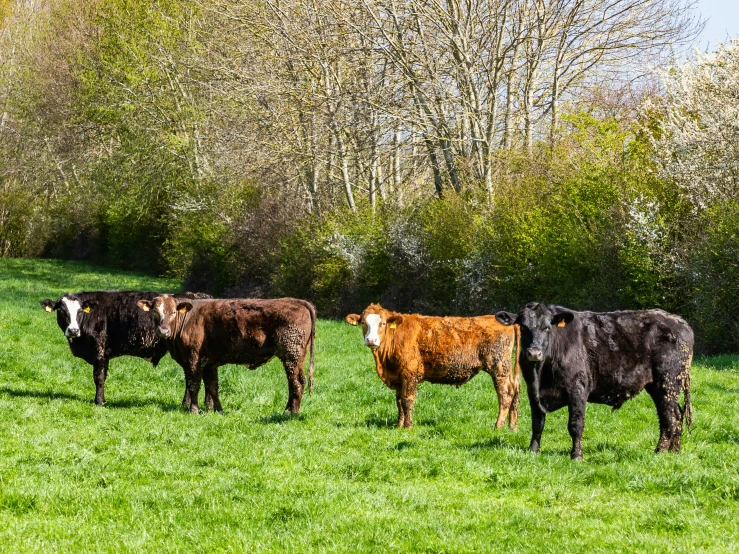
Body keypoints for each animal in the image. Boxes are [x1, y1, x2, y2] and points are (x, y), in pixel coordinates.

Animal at [40, 288, 210, 406]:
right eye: (61, 310)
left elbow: (99, 378)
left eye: (80, 311)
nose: (73, 330)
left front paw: (99, 401)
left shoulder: (100, 351)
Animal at [137, 296, 316, 412]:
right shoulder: (208, 363)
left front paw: (194, 409)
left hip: (292, 355)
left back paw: (291, 412)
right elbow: (212, 387)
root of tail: (298, 301)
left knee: (296, 382)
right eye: (155, 311)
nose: (163, 331)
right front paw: (218, 410)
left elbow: (193, 385)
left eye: (174, 312)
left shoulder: (194, 360)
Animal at [346, 304, 520, 430]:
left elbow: (407, 400)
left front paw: (408, 427)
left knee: (505, 395)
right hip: (506, 370)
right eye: (363, 323)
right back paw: (512, 426)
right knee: (515, 389)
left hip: (499, 368)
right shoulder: (399, 378)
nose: (371, 340)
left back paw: (498, 426)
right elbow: (399, 402)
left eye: (382, 323)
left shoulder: (410, 375)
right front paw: (399, 424)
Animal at [498, 302, 692, 458]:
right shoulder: (533, 391)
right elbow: (537, 423)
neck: (541, 374)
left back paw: (659, 452)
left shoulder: (577, 389)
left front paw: (576, 455)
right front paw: (533, 451)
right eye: (523, 327)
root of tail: (680, 321)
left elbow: (576, 425)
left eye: (547, 327)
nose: (534, 353)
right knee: (676, 414)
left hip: (667, 381)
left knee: (669, 418)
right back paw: (674, 452)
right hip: (659, 386)